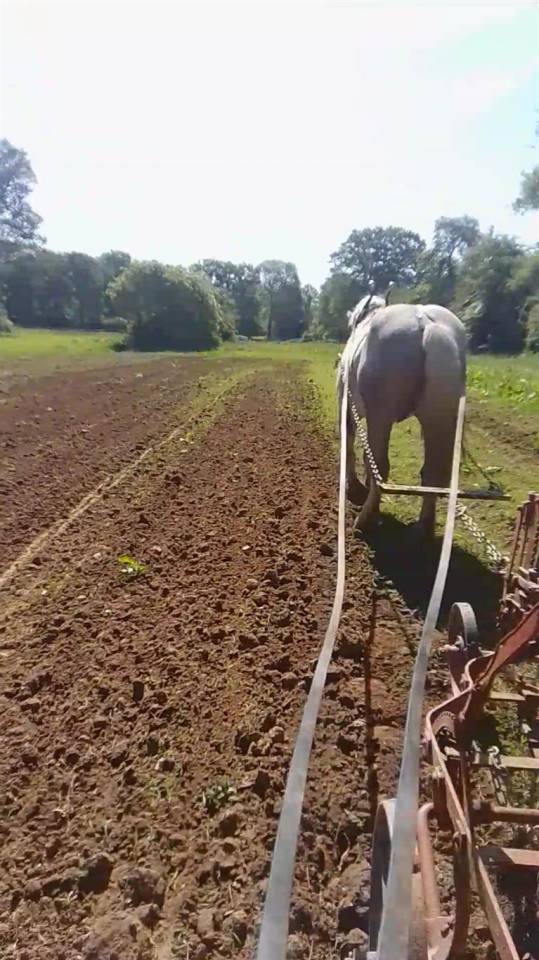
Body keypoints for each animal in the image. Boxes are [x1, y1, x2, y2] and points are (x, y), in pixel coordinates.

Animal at [336, 293, 466, 536]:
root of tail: (429, 327)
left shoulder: (347, 408)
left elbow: (350, 446)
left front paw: (353, 485)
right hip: (436, 419)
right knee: (431, 472)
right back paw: (424, 526)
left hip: (381, 416)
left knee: (381, 466)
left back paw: (365, 519)